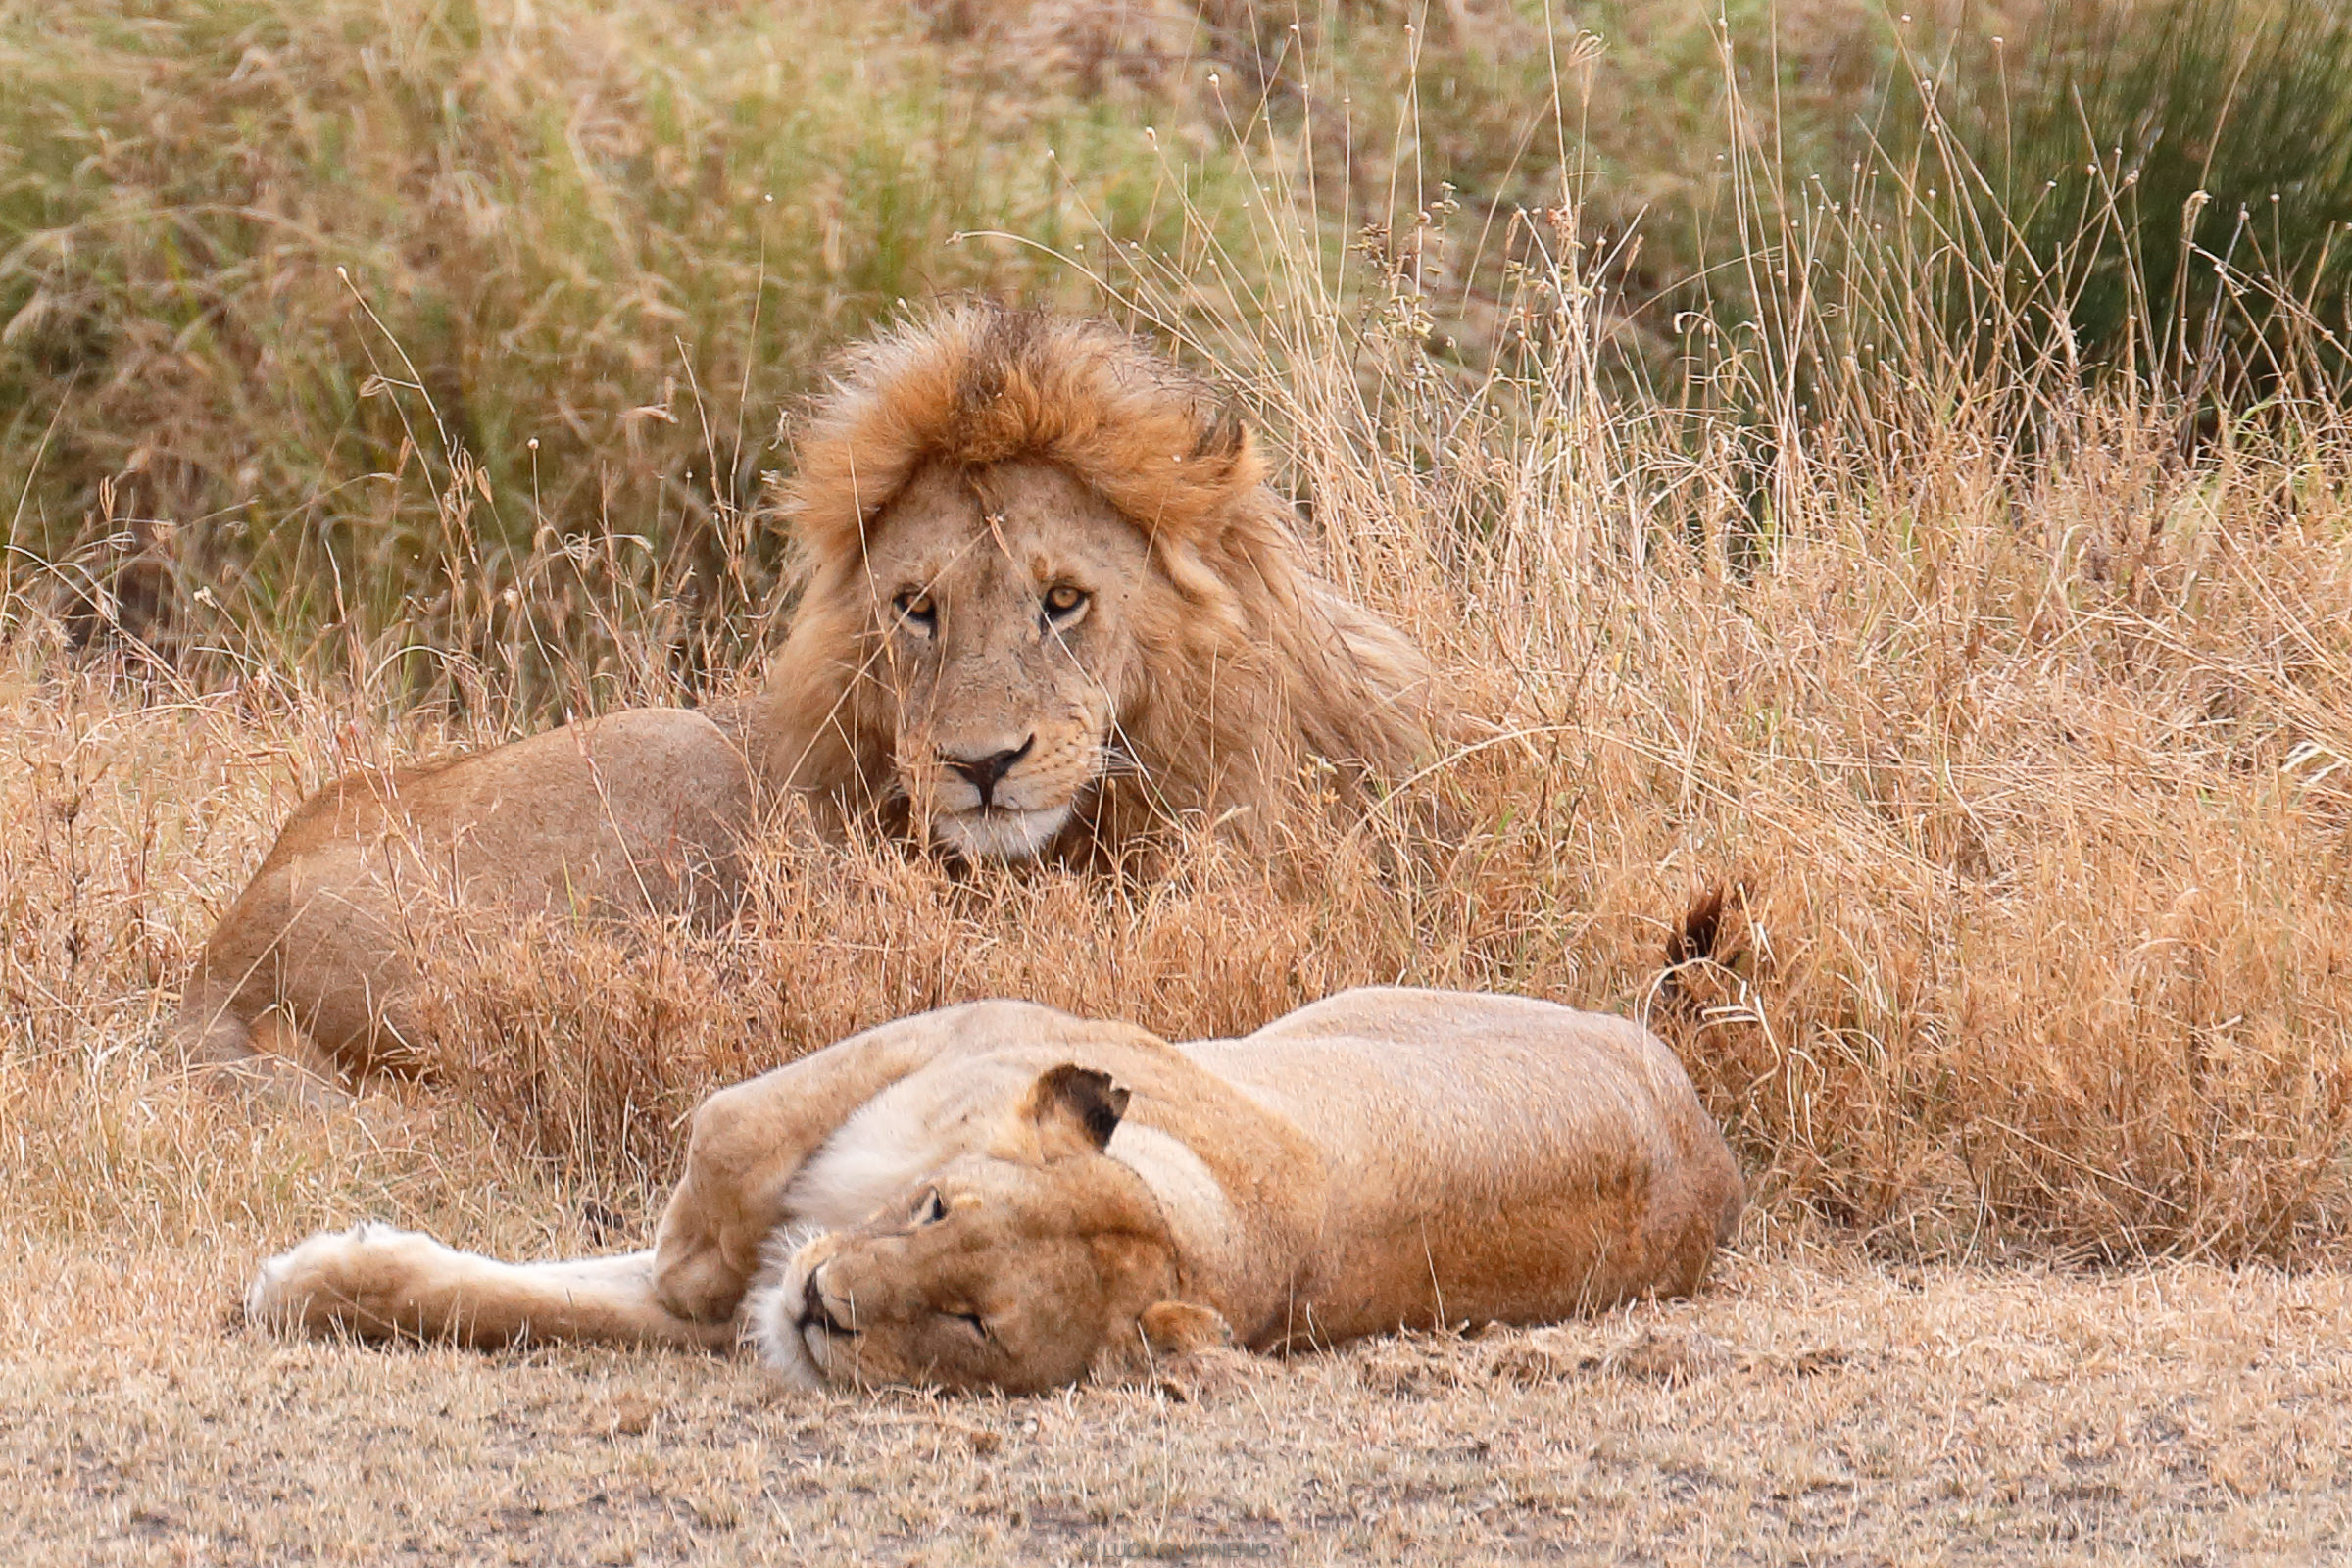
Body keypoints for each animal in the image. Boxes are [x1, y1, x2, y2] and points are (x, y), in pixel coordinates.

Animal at [246, 987, 1745, 1392]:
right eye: (935, 1212)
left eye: (973, 1324)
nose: (824, 1304)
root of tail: (1715, 1149)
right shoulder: (958, 1026)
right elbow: (728, 1129)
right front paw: (305, 1282)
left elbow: (544, 1303)